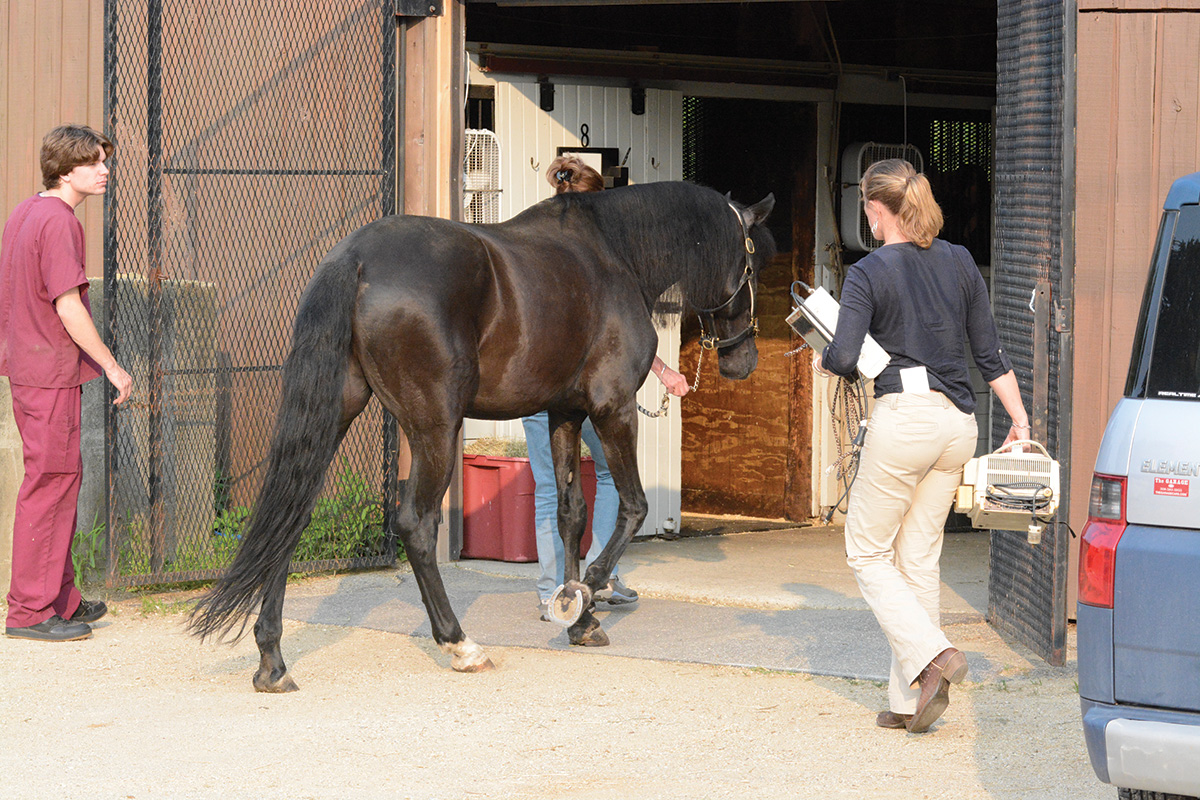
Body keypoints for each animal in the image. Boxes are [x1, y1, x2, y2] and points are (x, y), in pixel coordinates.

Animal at [184, 179, 768, 690]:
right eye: (751, 264)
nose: (743, 359)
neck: (612, 255)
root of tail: (356, 258)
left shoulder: (564, 413)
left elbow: (571, 514)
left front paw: (581, 621)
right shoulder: (613, 408)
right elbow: (633, 506)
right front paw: (579, 595)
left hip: (334, 413)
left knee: (291, 513)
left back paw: (272, 660)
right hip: (436, 428)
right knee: (415, 524)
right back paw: (460, 644)